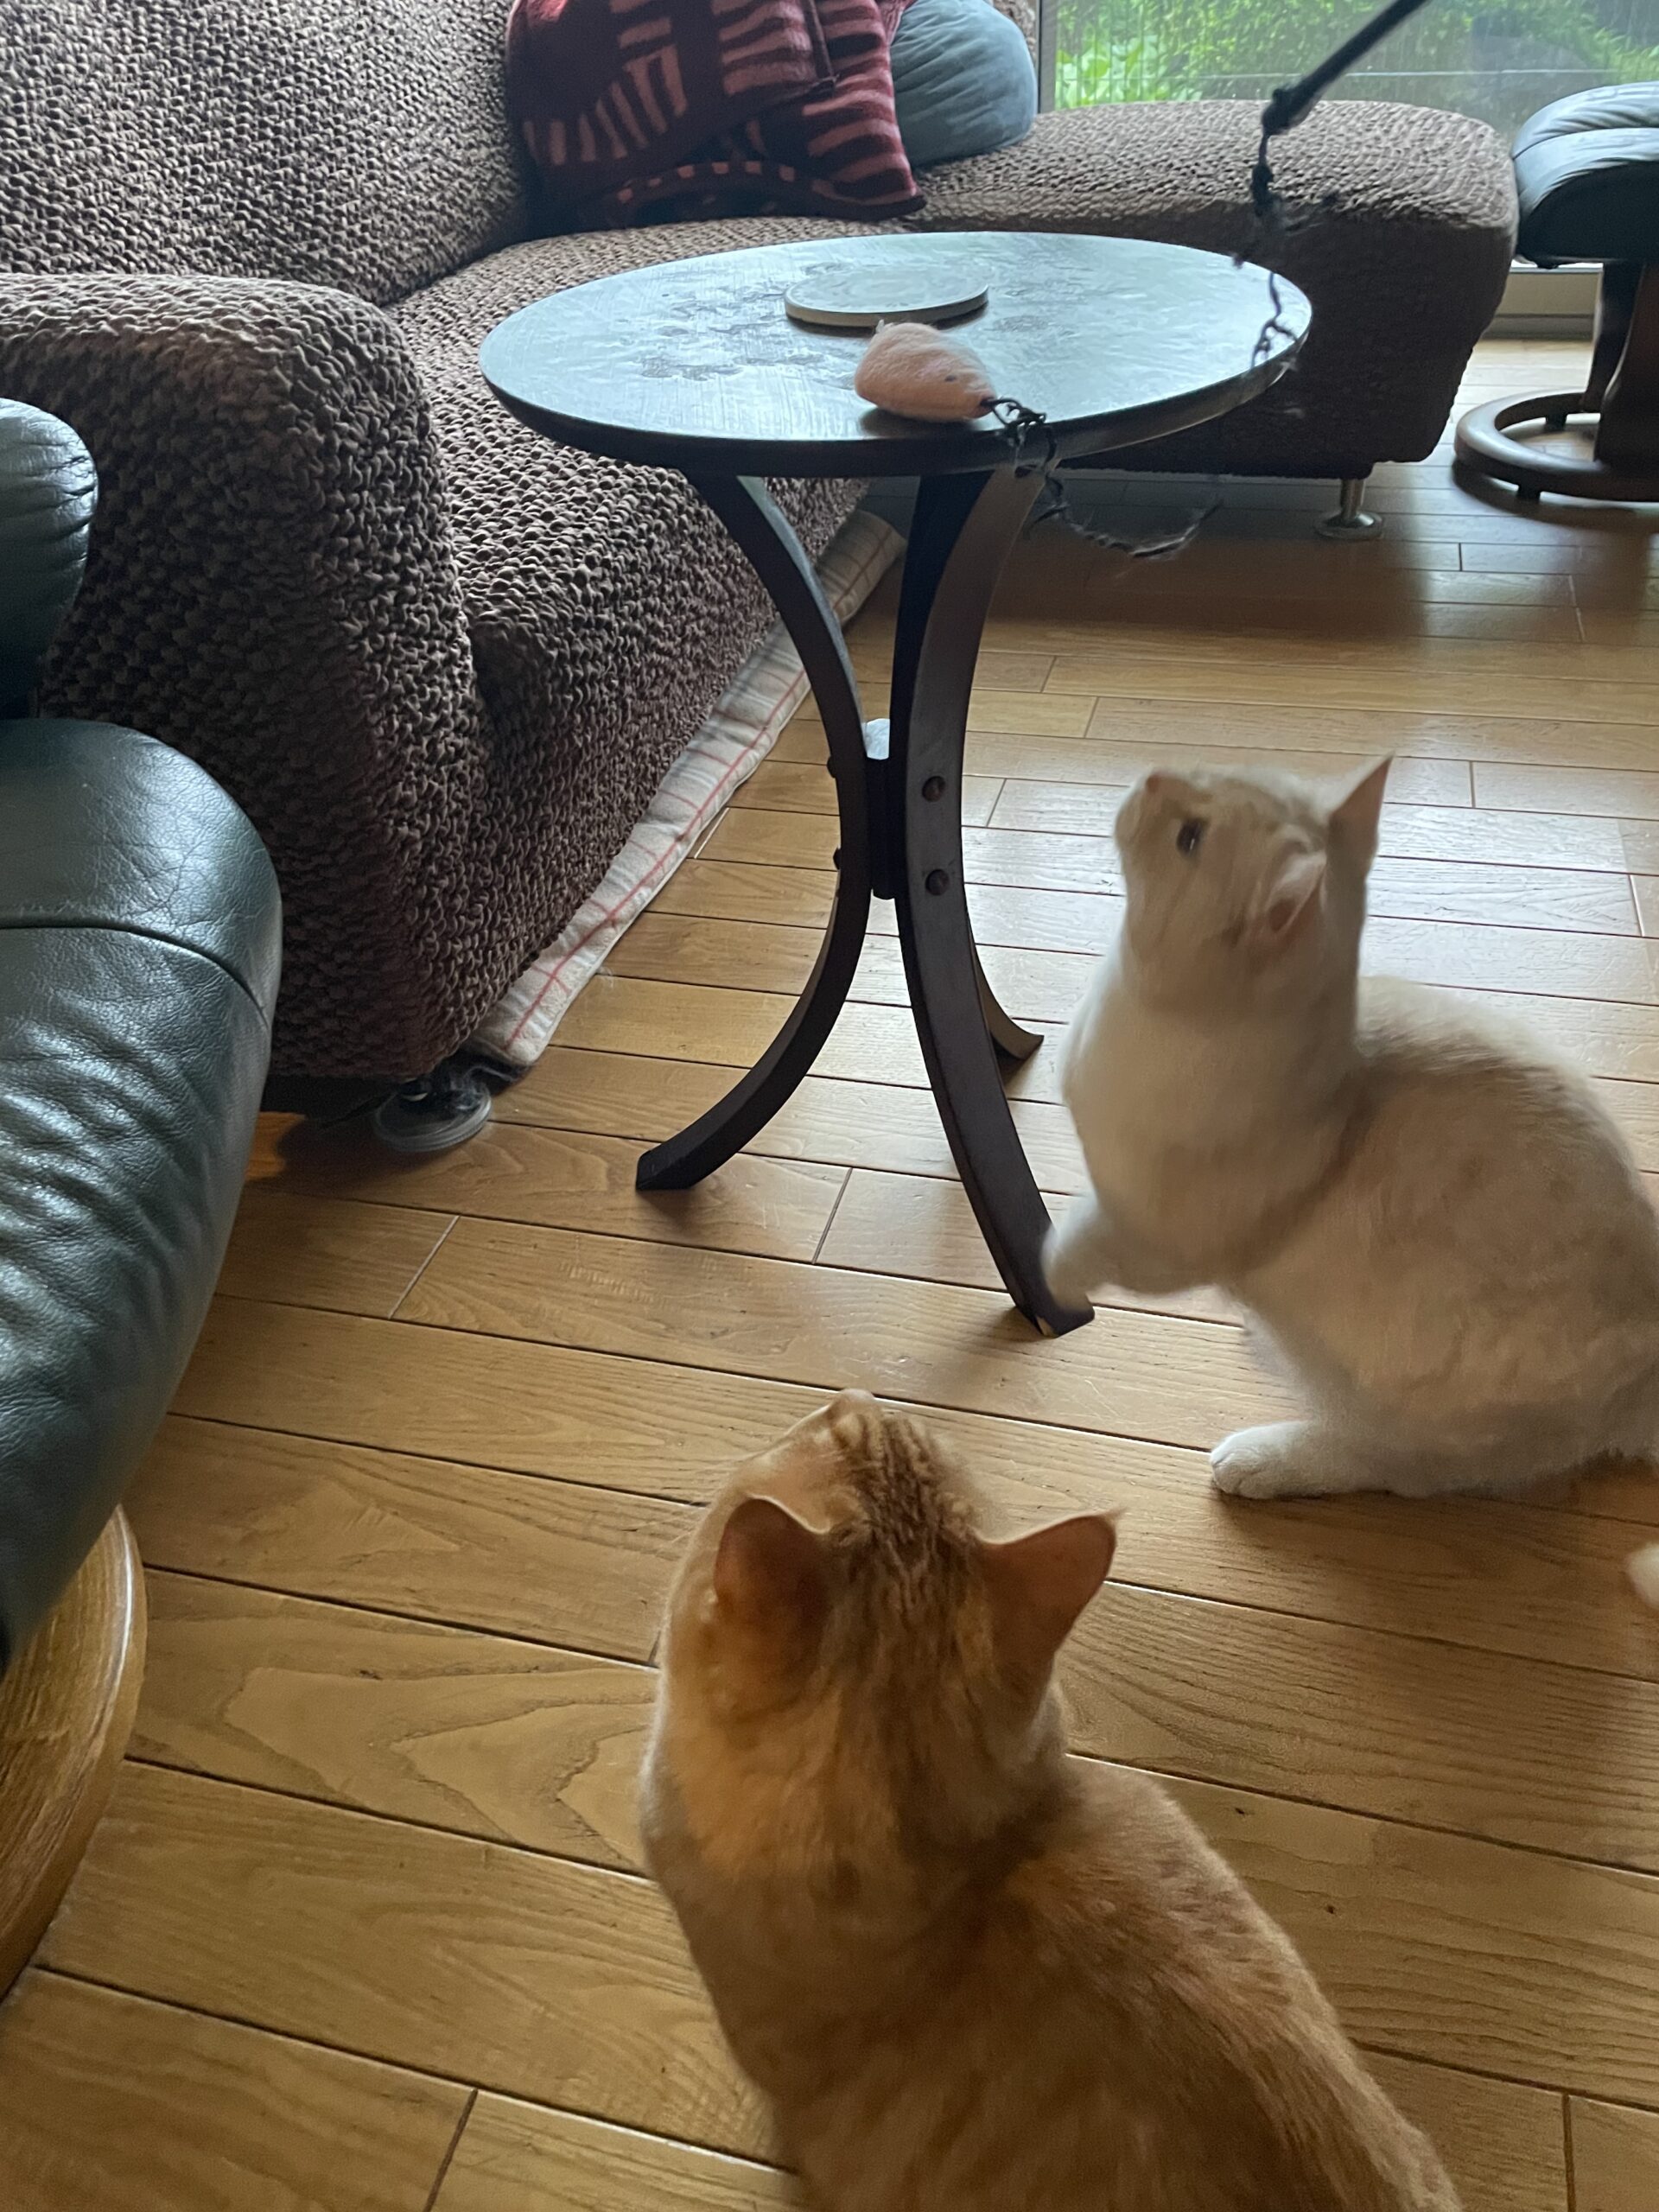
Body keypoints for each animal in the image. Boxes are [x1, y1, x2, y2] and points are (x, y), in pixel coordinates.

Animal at [1045, 759, 1659, 1606]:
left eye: (1189, 839)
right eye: (1215, 773)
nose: (1155, 777)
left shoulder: (1150, 1240)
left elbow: (1072, 1239)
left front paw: (1049, 1280)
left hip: (1413, 1403)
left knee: (1392, 1466)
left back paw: (1258, 1459)